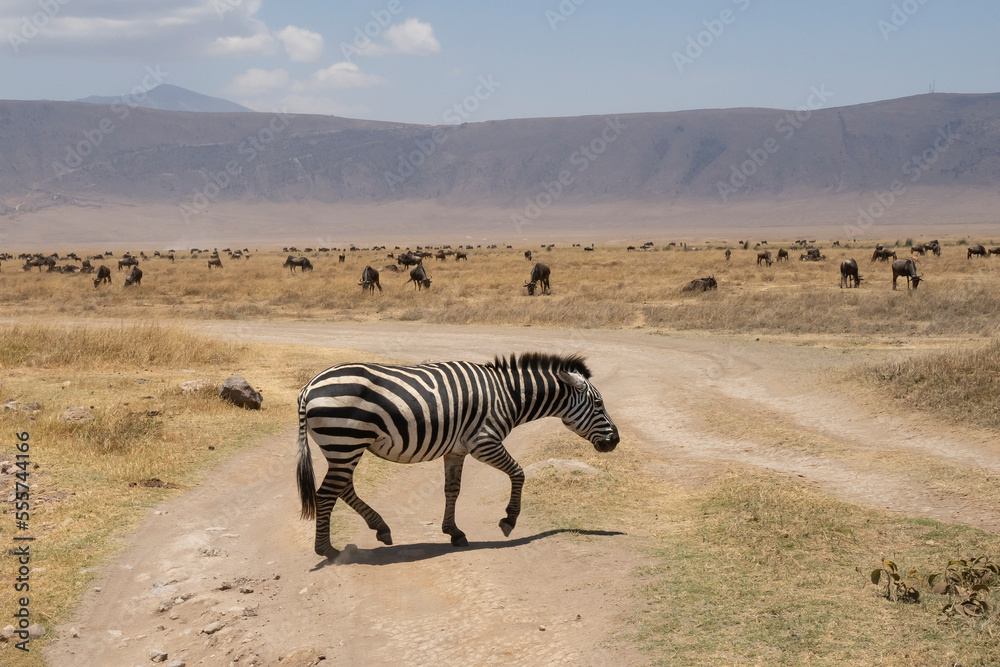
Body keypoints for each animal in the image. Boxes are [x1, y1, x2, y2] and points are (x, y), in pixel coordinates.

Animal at [296, 352, 620, 560]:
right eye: (599, 403)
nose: (615, 441)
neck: (508, 395)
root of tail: (309, 387)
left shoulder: (456, 450)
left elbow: (452, 489)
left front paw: (454, 532)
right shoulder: (483, 442)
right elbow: (518, 472)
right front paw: (508, 520)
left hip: (343, 446)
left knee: (343, 488)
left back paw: (380, 528)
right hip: (345, 441)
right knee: (327, 493)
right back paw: (327, 550)